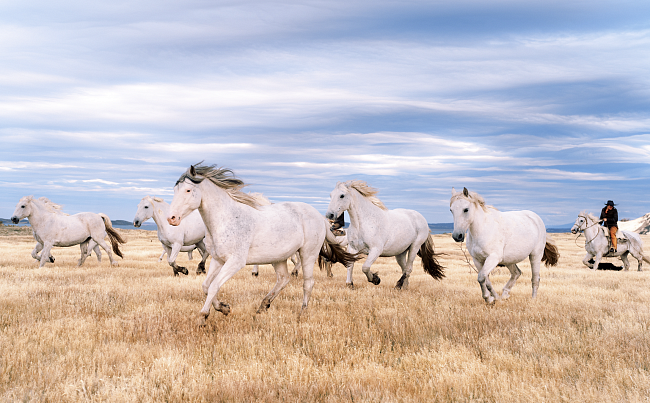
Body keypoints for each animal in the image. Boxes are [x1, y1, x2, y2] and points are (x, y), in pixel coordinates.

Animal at [167, 163, 356, 326]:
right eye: (175, 190)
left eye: (188, 190)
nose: (172, 218)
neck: (227, 219)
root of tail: (319, 216)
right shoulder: (218, 260)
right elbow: (206, 286)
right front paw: (224, 308)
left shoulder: (235, 262)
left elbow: (214, 286)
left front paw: (203, 317)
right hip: (278, 258)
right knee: (283, 279)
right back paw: (263, 306)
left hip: (307, 254)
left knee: (307, 283)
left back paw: (301, 313)